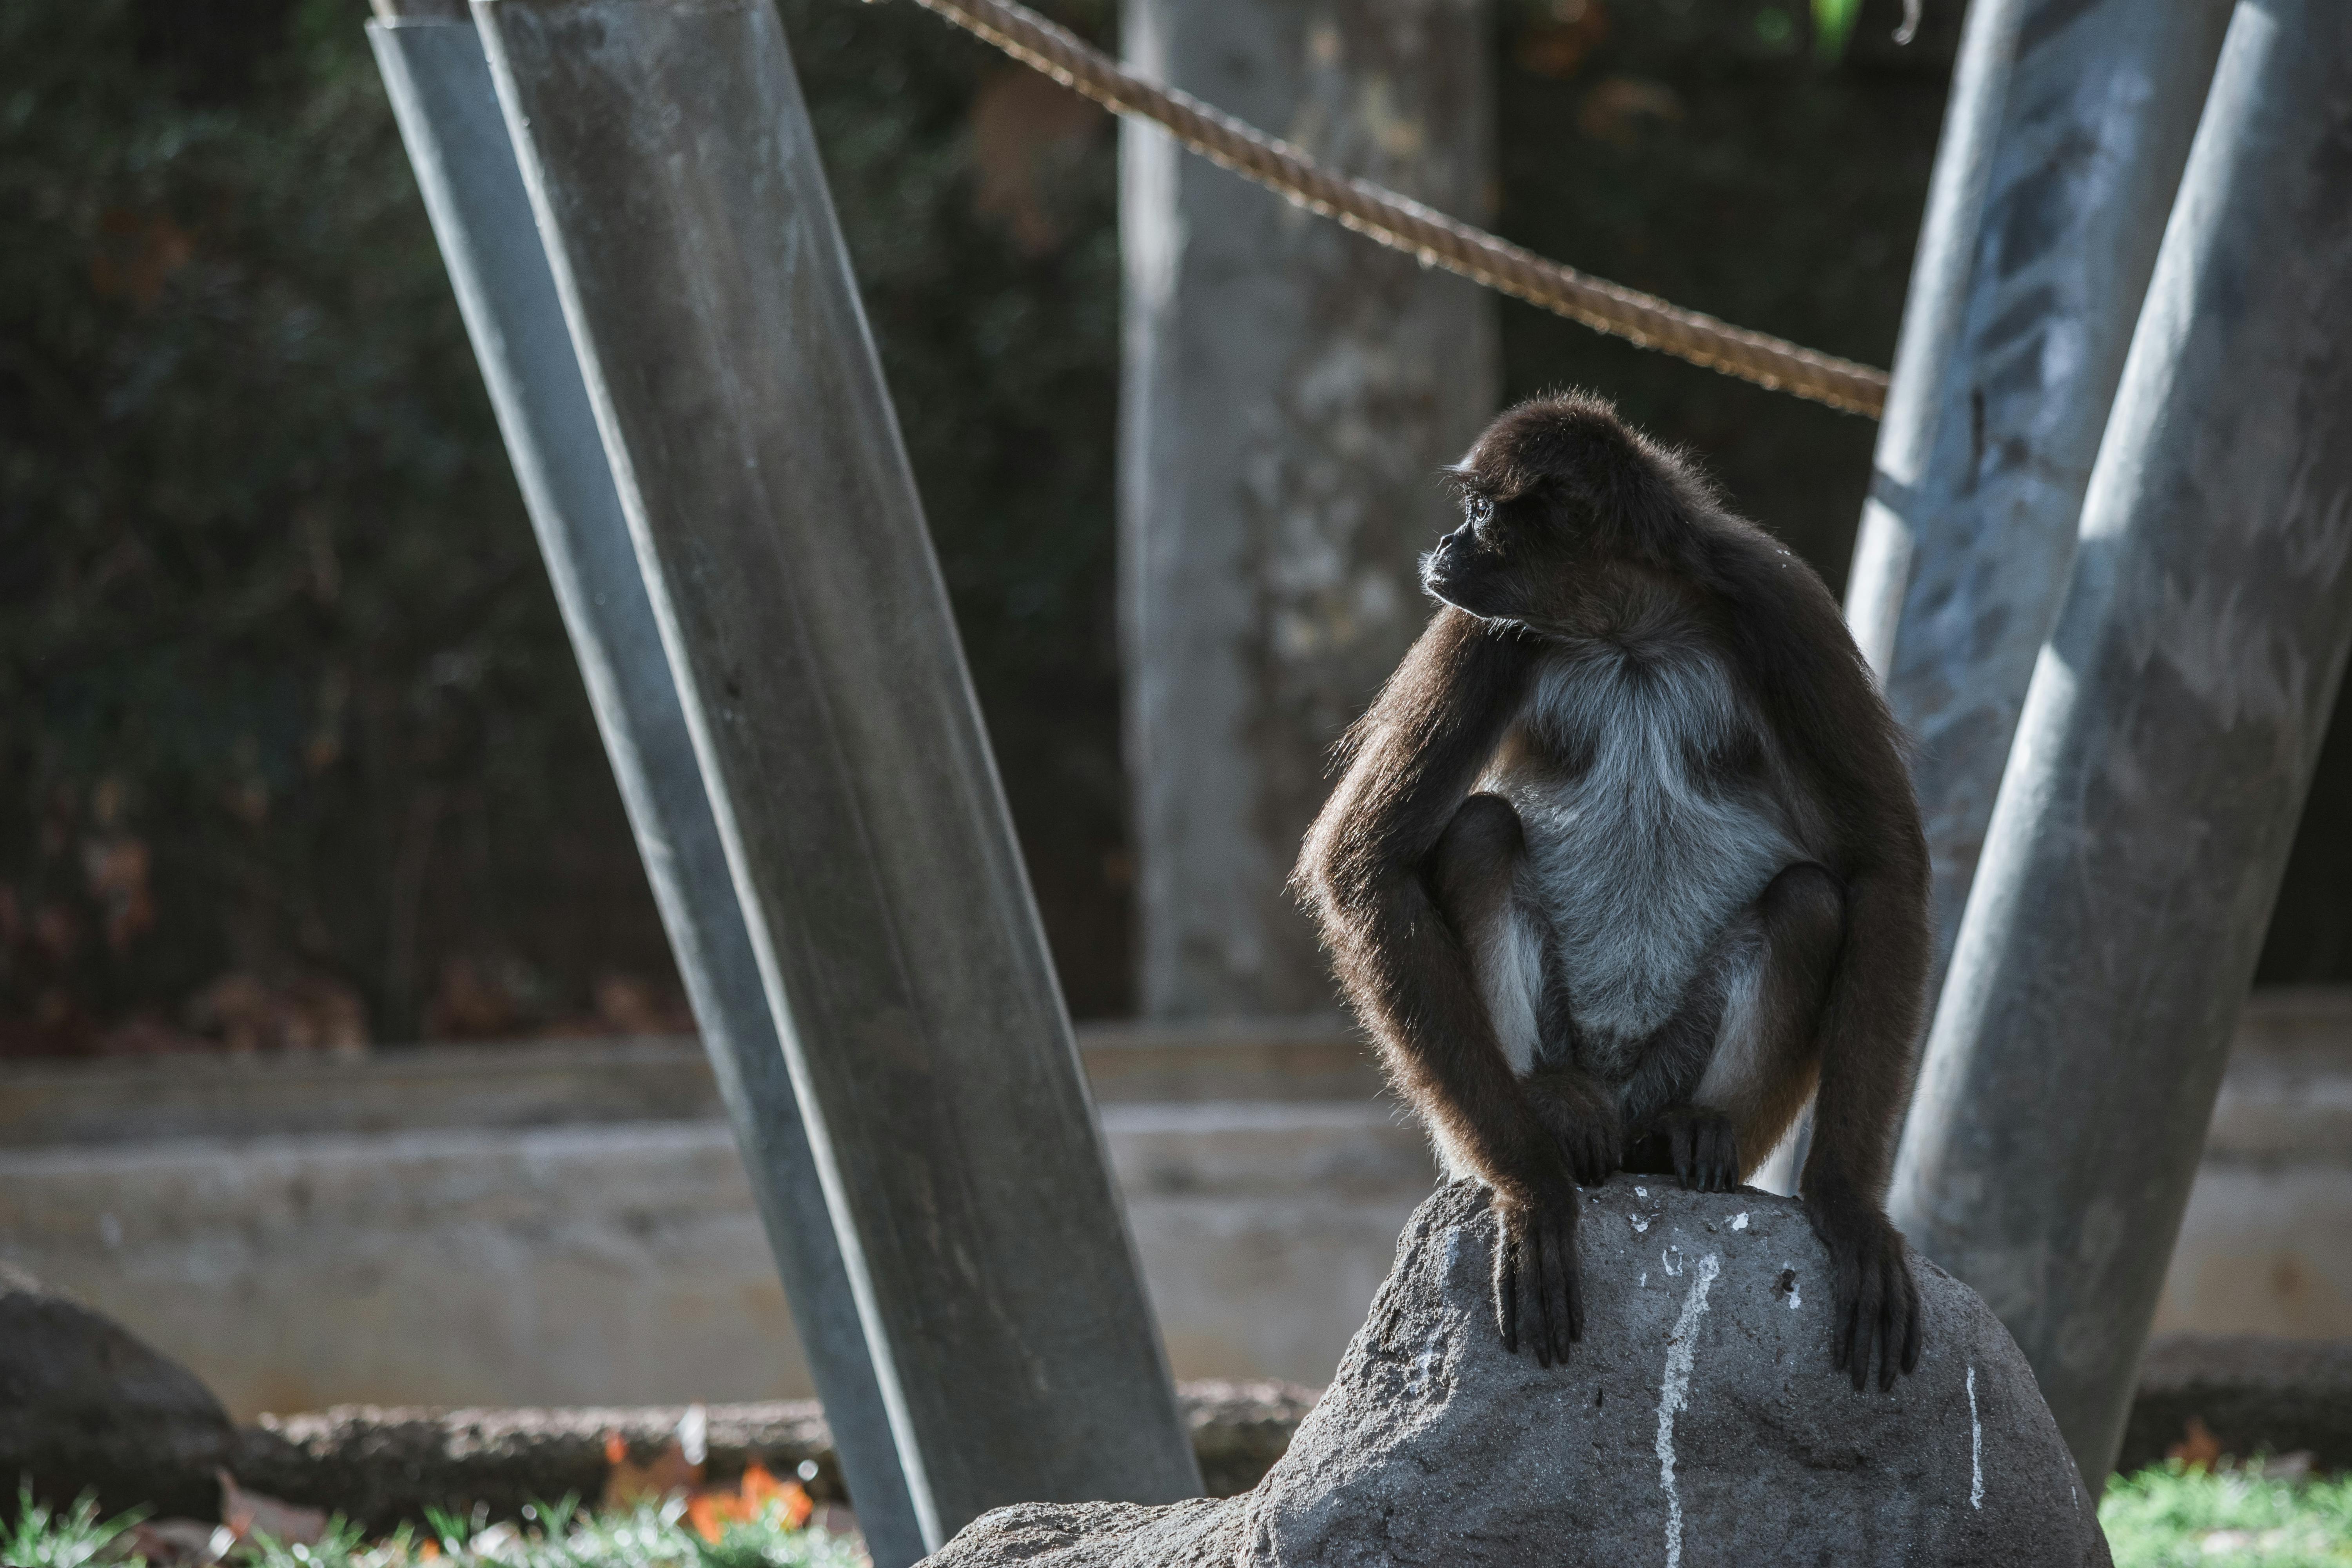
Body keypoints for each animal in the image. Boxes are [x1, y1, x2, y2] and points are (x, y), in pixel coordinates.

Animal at [1289, 399, 1929, 1392]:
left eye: (1481, 511)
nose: (1445, 546)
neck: (1625, 623)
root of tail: (1623, 1107)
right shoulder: (1483, 623)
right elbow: (1362, 860)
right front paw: (1531, 1185)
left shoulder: (1778, 600)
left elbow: (1881, 866)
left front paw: (1847, 1204)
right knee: (1481, 831)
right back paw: (1554, 1118)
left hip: (1688, 1070)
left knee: (1810, 899)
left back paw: (1689, 1134)